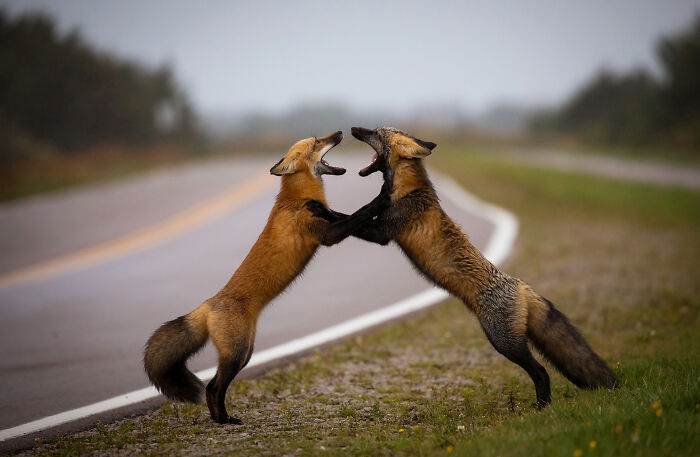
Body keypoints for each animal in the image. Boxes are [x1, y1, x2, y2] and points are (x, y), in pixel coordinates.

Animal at [144, 130, 390, 424]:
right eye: (317, 142)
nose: (340, 133)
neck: (297, 197)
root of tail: (208, 304)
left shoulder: (329, 222)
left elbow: (345, 215)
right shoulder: (327, 235)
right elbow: (359, 213)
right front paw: (380, 198)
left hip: (246, 352)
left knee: (216, 387)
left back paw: (220, 418)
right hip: (236, 354)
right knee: (212, 387)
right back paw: (224, 420)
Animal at [308, 126, 617, 407]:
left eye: (376, 132)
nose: (353, 128)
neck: (408, 188)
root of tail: (521, 285)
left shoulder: (383, 232)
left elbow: (349, 218)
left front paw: (321, 211)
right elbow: (351, 216)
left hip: (504, 342)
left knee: (541, 372)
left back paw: (541, 407)